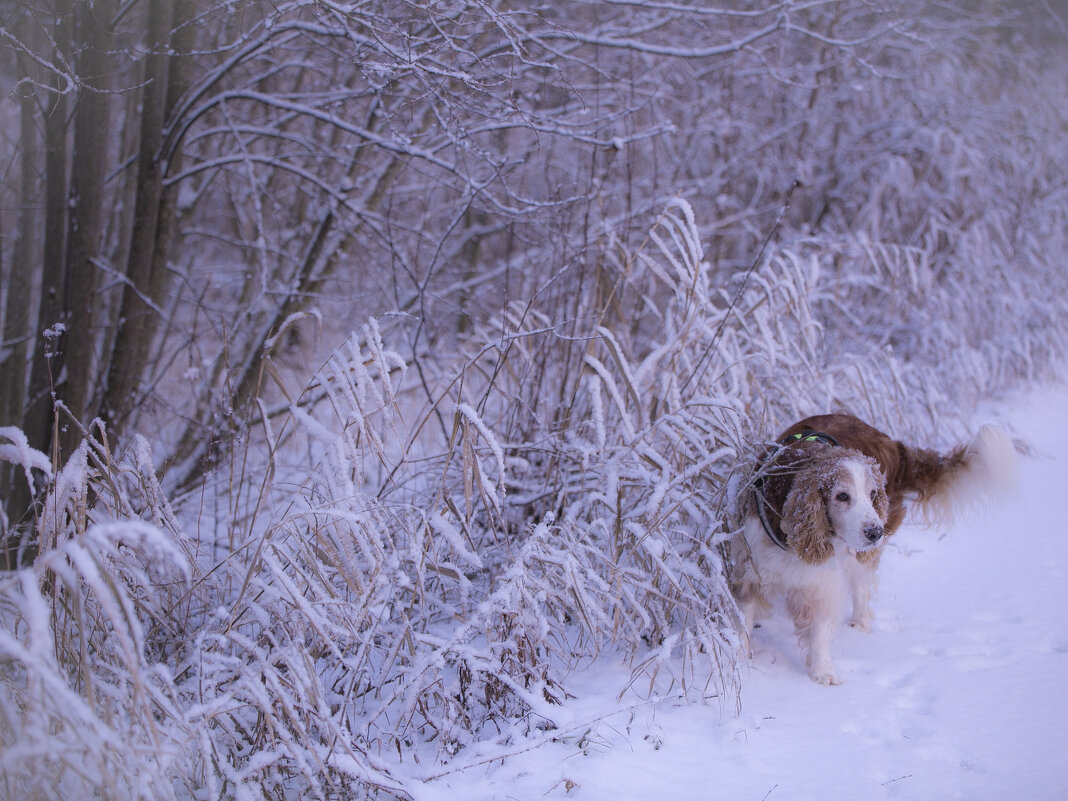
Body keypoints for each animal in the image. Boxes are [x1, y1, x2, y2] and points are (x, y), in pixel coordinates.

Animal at [730, 416, 1012, 687]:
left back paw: (860, 623)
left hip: (861, 553)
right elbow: (743, 620)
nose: (875, 532)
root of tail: (893, 444)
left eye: (873, 493)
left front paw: (823, 673)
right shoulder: (750, 567)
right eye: (842, 496)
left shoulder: (821, 582)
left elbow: (820, 627)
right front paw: (742, 661)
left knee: (861, 584)